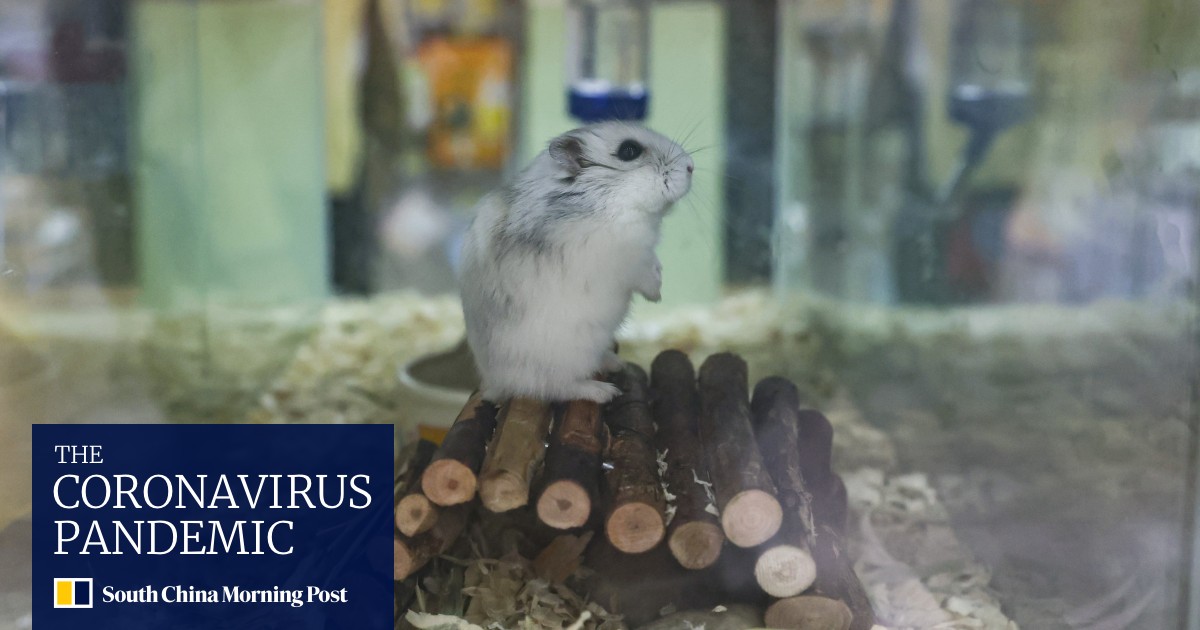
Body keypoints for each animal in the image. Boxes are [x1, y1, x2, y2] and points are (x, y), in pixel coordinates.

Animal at [459, 122, 694, 403]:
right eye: (629, 150)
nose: (691, 166)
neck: (605, 201)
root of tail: (496, 384)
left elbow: (655, 263)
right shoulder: (632, 258)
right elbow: (646, 274)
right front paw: (657, 295)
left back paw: (614, 362)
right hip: (566, 359)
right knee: (554, 387)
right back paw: (604, 391)